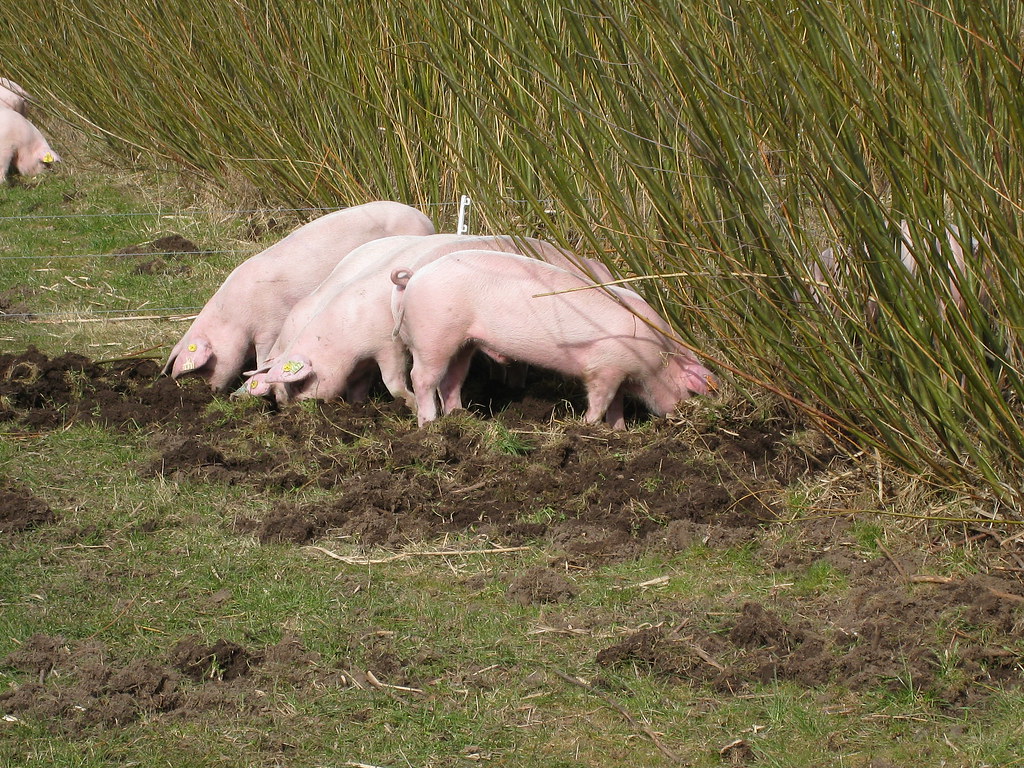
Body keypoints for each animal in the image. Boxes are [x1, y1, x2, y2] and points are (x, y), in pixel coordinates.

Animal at [161, 201, 435, 391]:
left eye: (207, 366)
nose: (212, 391)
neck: (234, 315)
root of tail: (425, 219)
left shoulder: (269, 327)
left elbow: (263, 357)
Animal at [246, 234, 618, 404]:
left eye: (301, 383)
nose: (291, 409)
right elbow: (359, 384)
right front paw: (359, 405)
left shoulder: (390, 346)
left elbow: (394, 383)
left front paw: (410, 404)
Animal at [391, 250, 714, 428]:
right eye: (690, 392)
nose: (681, 417)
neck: (659, 356)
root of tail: (416, 275)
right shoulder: (605, 367)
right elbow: (600, 400)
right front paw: (587, 427)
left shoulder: (618, 372)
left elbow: (616, 404)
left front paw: (619, 430)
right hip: (434, 335)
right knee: (421, 378)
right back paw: (430, 424)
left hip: (463, 342)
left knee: (452, 380)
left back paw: (460, 417)